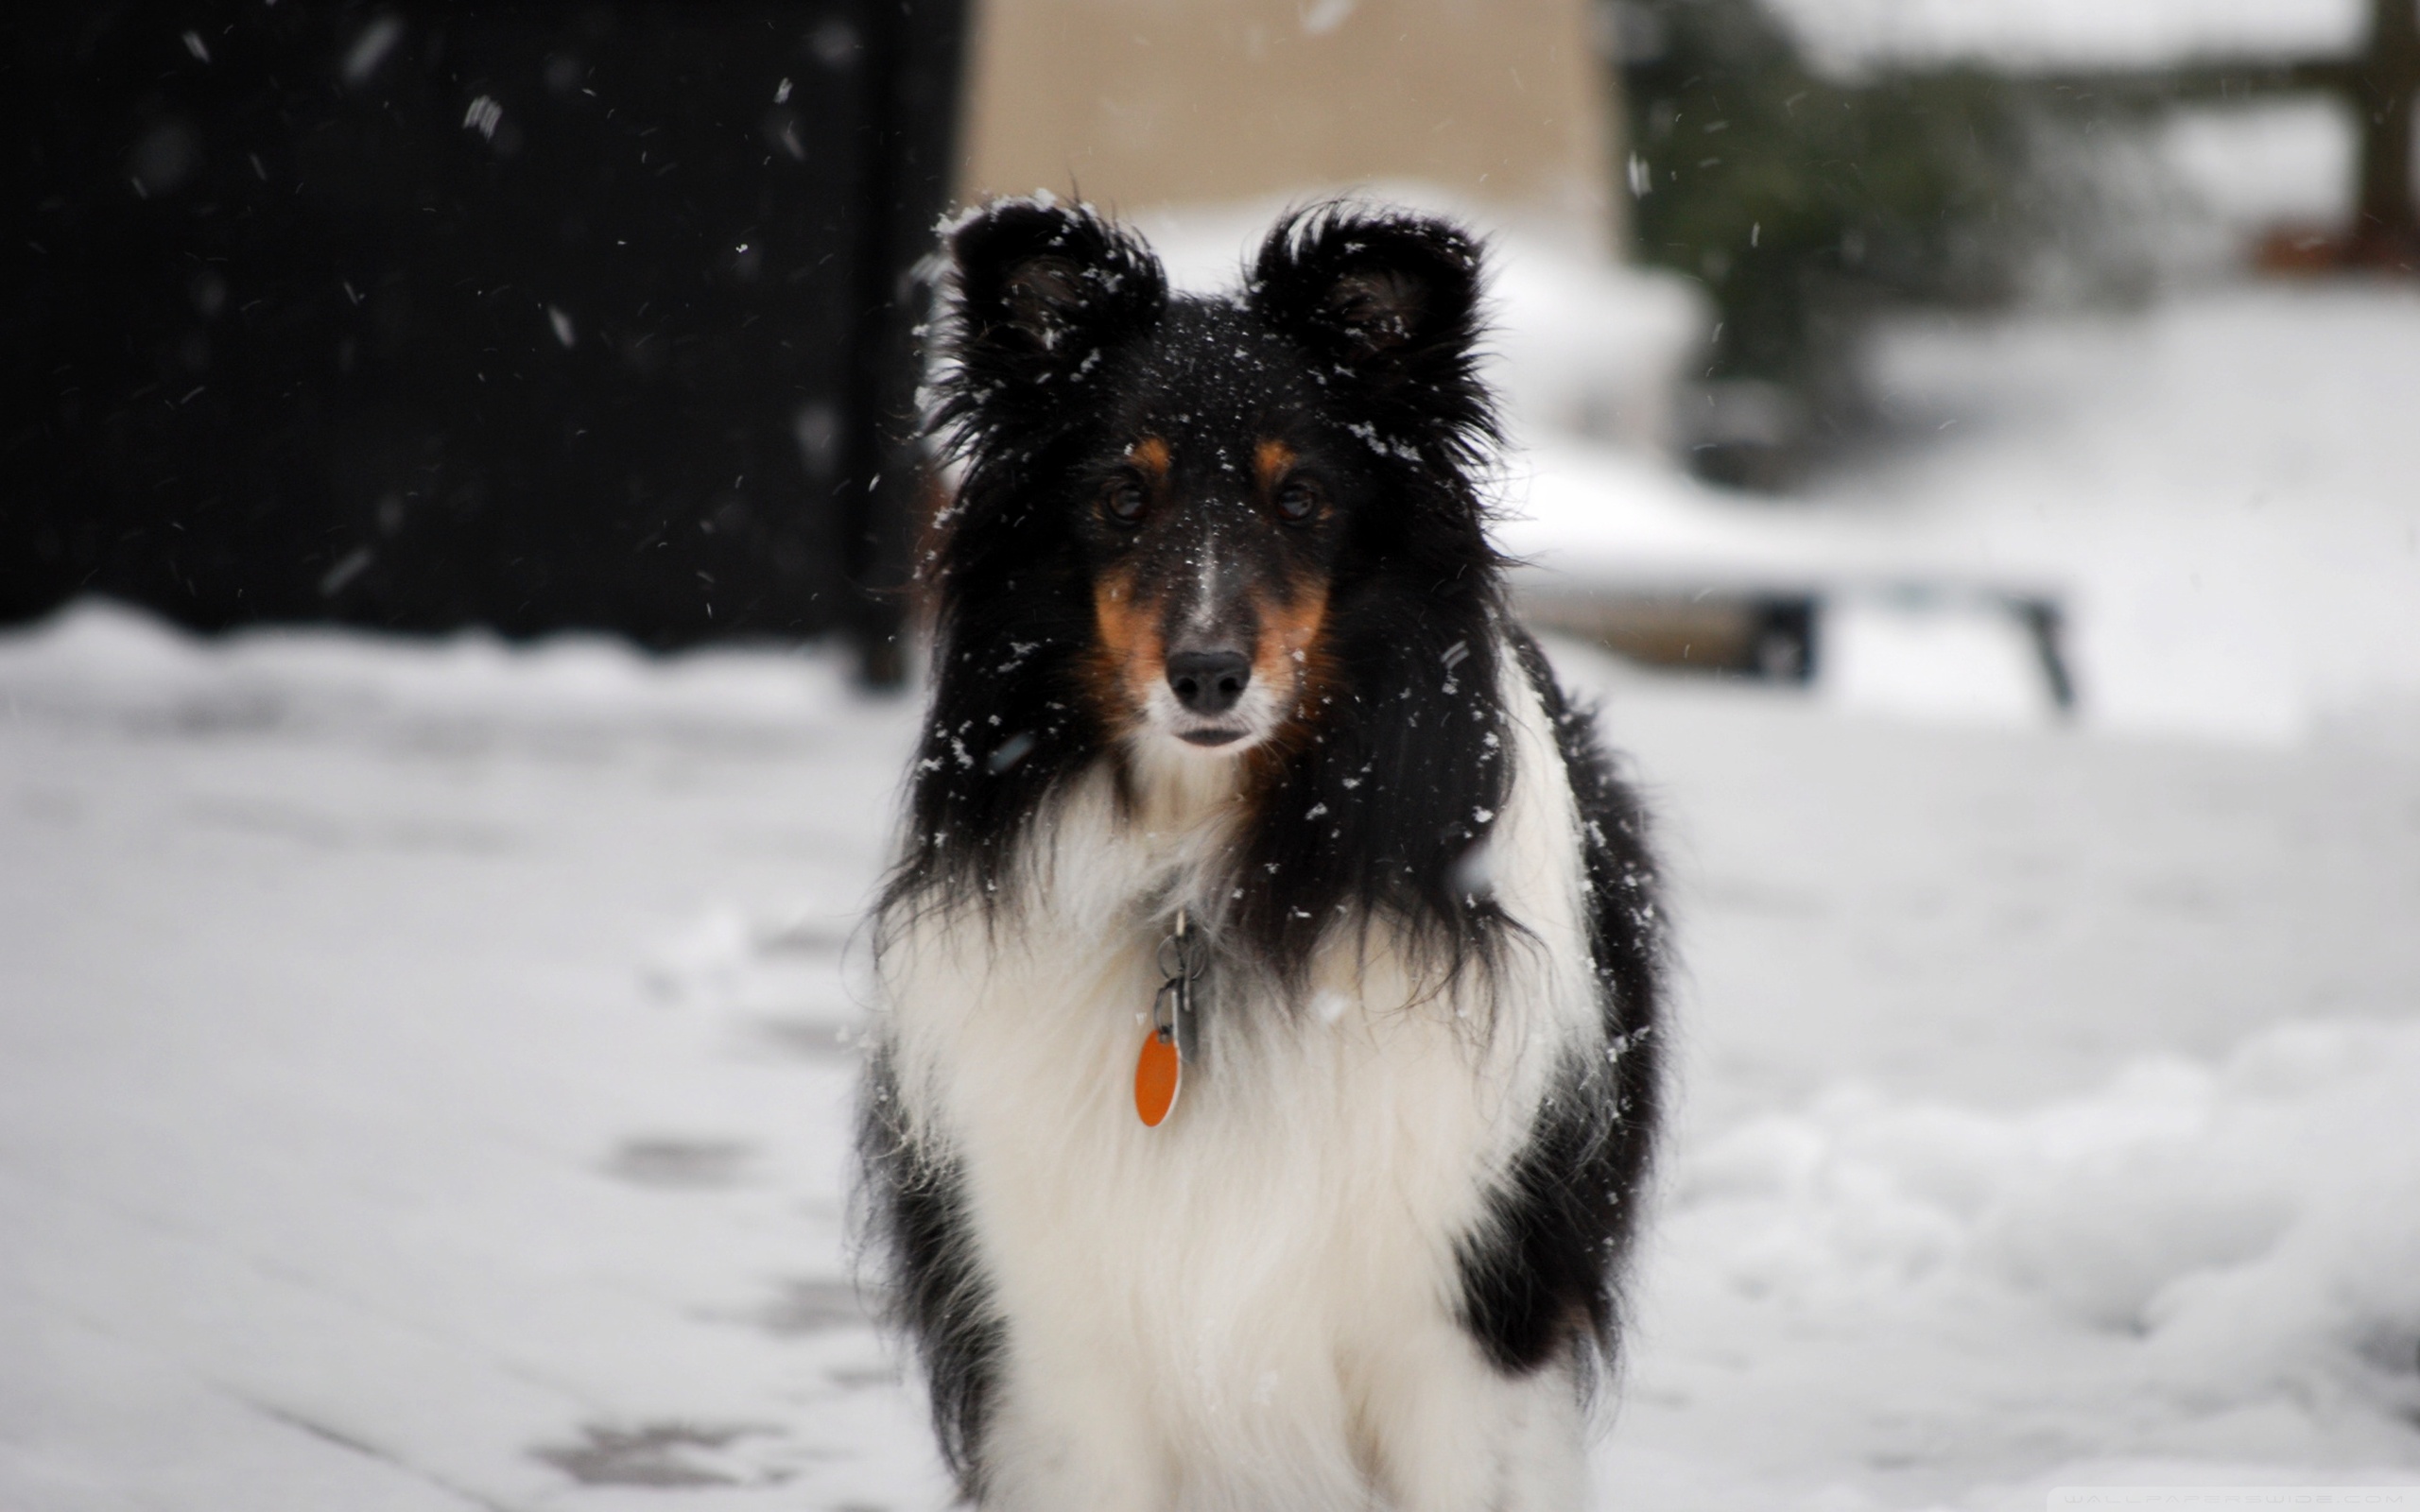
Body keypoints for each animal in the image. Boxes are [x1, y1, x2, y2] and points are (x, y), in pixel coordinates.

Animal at [856, 200, 1665, 1509]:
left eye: (1300, 499)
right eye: (1121, 496)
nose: (1206, 675)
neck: (1204, 876)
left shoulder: (1465, 1329)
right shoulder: (1060, 1342)